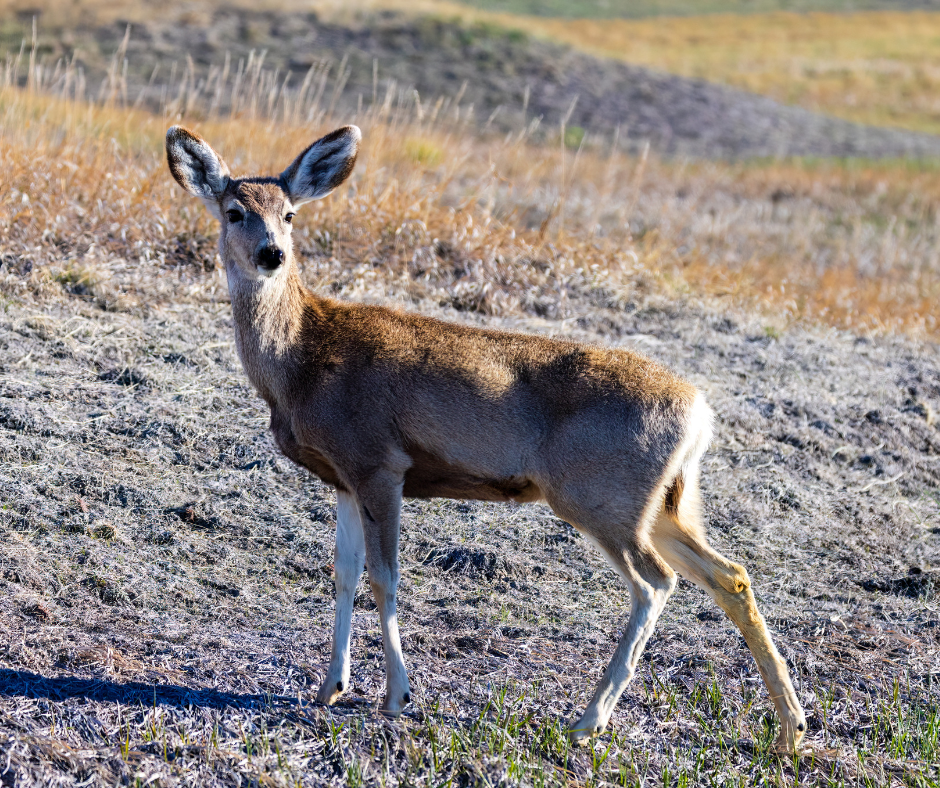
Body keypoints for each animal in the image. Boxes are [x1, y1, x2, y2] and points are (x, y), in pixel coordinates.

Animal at [165, 124, 808, 753]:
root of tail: (700, 413)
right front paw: (330, 687)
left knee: (656, 583)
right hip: (665, 502)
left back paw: (589, 719)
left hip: (602, 494)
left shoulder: (379, 462)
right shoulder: (342, 476)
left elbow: (384, 577)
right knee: (731, 574)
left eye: (290, 213)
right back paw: (790, 727)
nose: (272, 253)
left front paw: (396, 696)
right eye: (234, 211)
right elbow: (344, 574)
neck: (302, 360)